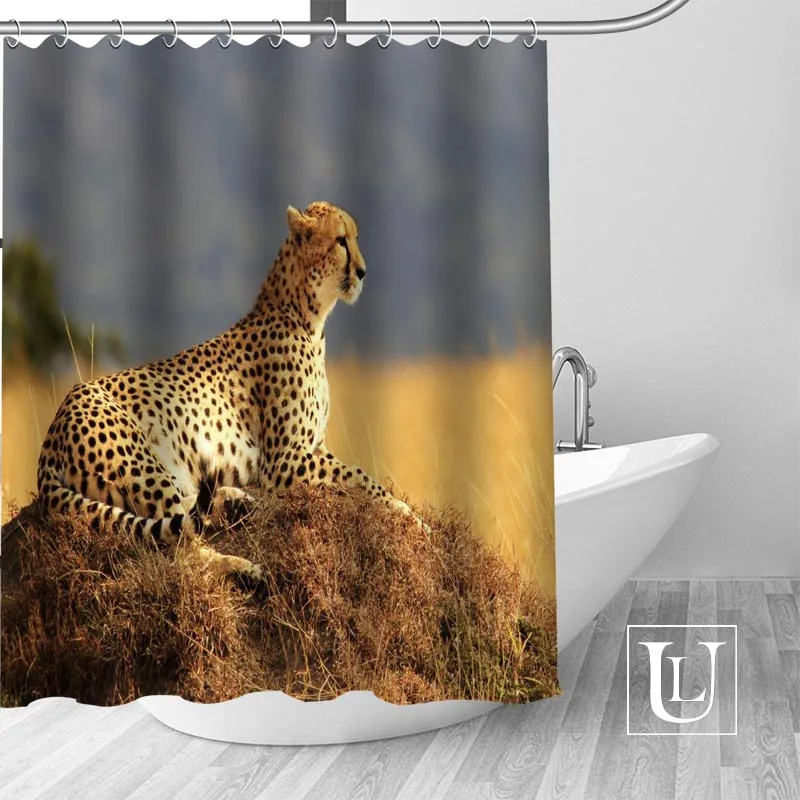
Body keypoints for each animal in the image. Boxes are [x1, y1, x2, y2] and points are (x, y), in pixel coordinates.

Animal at [36, 201, 424, 583]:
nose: (363, 272)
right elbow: (357, 476)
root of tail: (51, 435)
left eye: (355, 238)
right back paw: (244, 567)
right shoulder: (284, 461)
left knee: (188, 509)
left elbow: (353, 474)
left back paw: (236, 502)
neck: (307, 315)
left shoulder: (311, 448)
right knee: (182, 549)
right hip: (140, 464)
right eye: (342, 241)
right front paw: (407, 513)